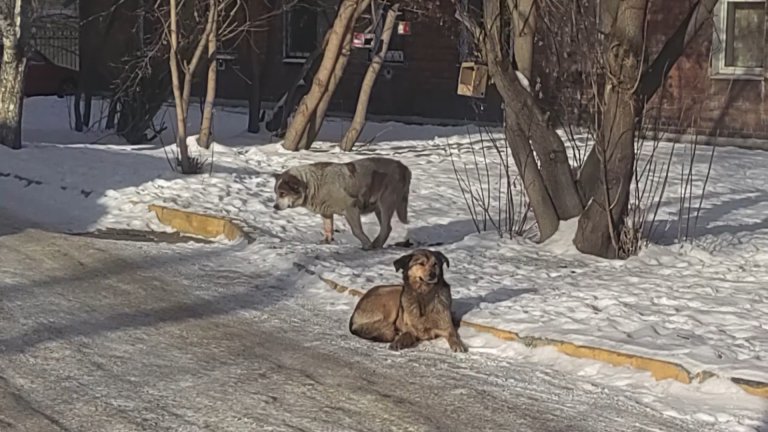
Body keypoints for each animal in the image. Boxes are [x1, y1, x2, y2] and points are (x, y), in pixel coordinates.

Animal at [272, 157, 412, 250]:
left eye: (282, 193)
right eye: (276, 193)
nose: (275, 206)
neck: (311, 185)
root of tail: (404, 167)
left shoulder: (351, 208)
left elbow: (356, 230)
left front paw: (366, 244)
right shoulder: (326, 212)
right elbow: (328, 228)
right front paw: (326, 241)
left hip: (386, 203)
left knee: (386, 227)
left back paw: (375, 244)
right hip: (379, 208)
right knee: (387, 227)